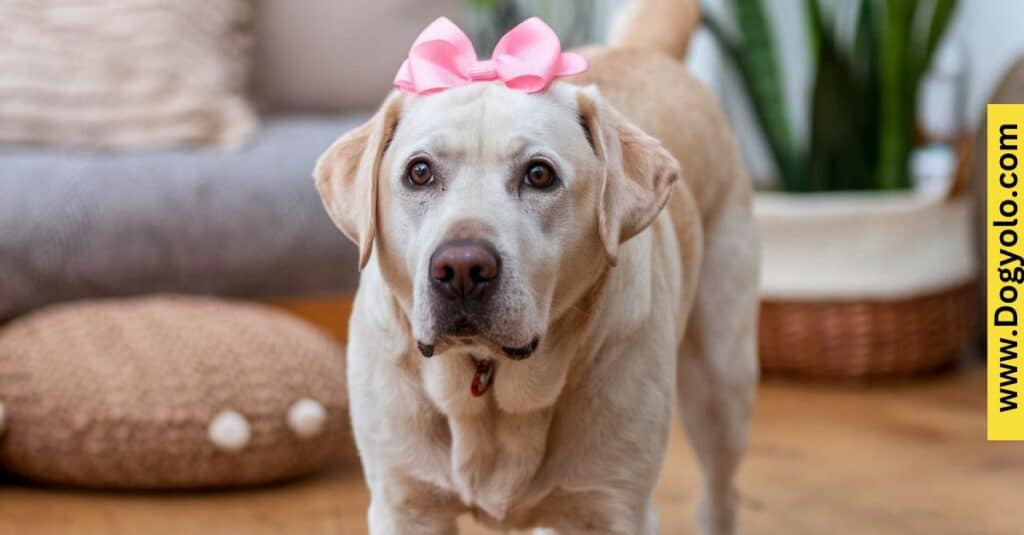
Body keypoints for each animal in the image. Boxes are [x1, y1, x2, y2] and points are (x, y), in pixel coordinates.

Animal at [315, 2, 757, 528]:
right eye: (419, 172)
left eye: (539, 174)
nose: (461, 269)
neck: (492, 385)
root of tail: (648, 50)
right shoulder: (404, 505)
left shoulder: (615, 507)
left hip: (723, 383)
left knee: (721, 489)